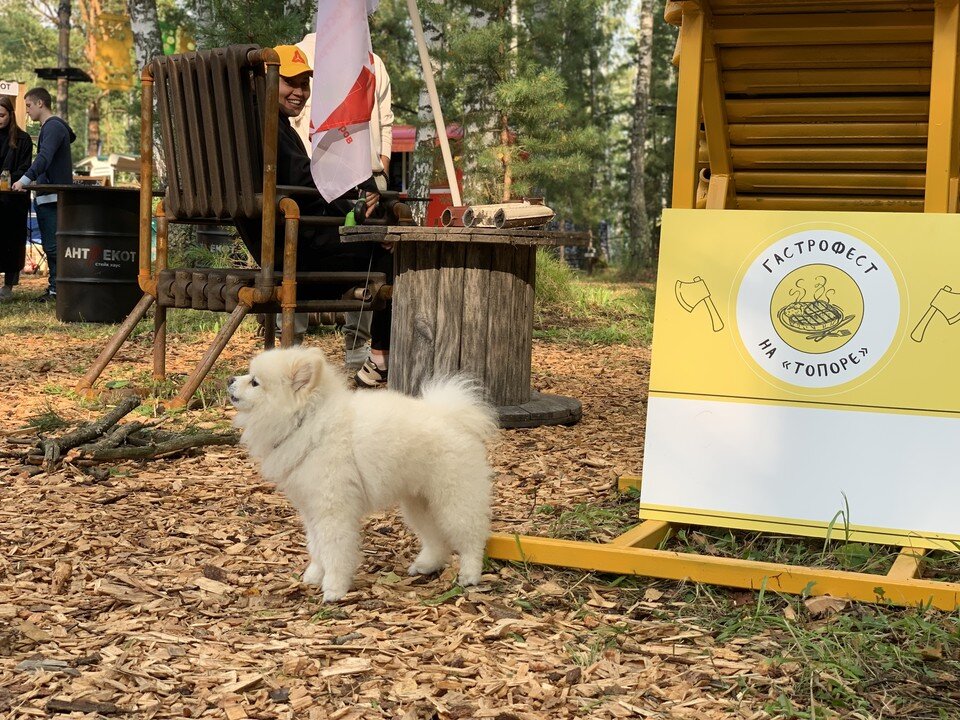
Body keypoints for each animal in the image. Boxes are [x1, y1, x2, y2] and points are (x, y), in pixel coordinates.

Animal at [225, 348, 496, 600]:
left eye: (255, 382)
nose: (229, 379)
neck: (306, 421)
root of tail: (453, 415)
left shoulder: (333, 510)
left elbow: (334, 550)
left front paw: (334, 588)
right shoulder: (312, 509)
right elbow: (316, 545)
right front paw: (315, 574)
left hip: (454, 497)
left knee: (471, 536)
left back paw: (470, 575)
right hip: (419, 502)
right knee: (435, 538)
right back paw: (426, 565)